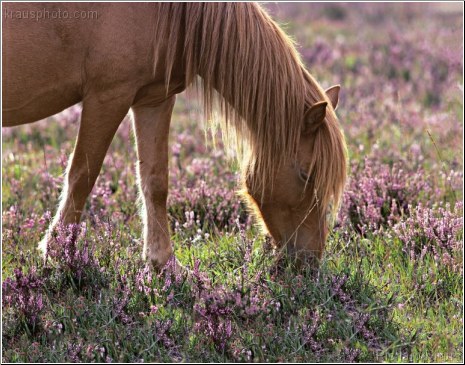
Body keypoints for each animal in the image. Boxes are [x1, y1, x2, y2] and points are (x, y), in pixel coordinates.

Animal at [1, 2, 346, 270]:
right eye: (306, 175)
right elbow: (83, 174)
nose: (310, 261)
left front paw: (164, 263)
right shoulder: (108, 95)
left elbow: (155, 181)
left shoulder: (154, 99)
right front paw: (58, 251)